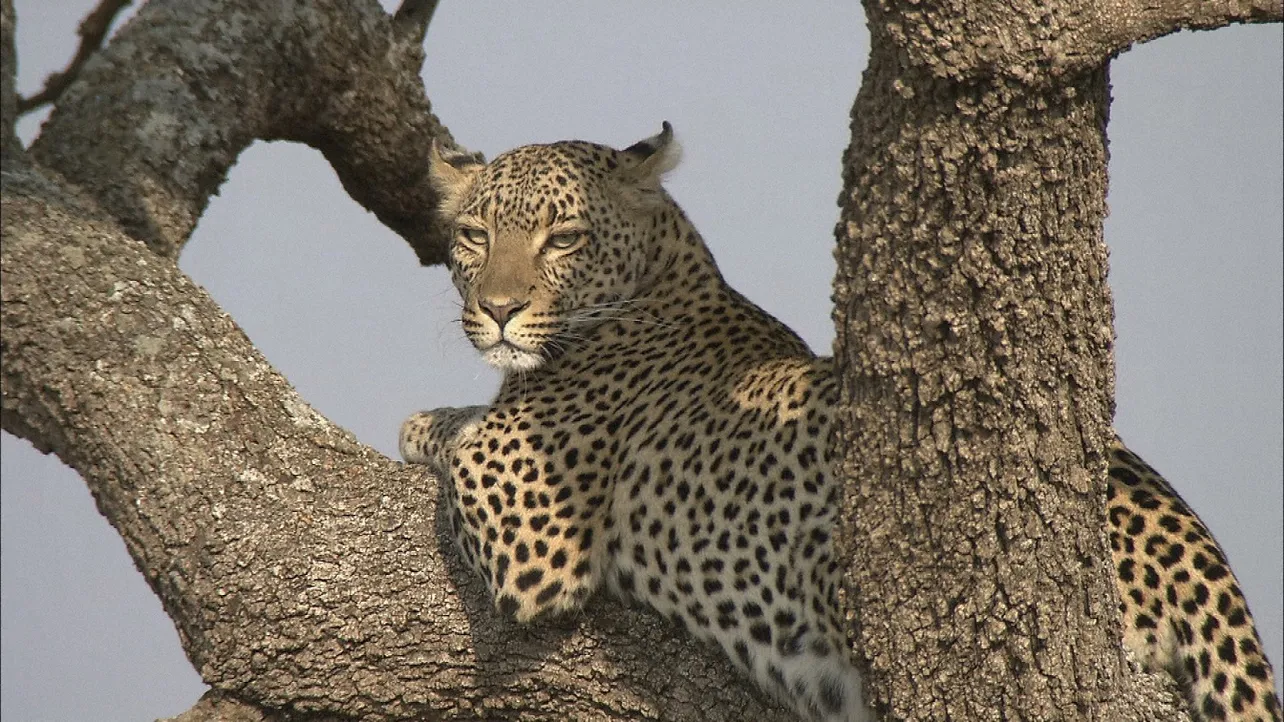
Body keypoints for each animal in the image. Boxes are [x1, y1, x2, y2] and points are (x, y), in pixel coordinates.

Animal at [398, 125, 1273, 719]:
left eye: (565, 238)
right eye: (474, 235)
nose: (497, 311)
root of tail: (1201, 555)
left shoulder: (532, 535)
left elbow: (452, 437)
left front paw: (421, 422)